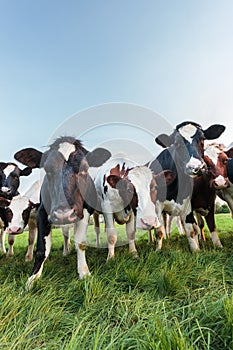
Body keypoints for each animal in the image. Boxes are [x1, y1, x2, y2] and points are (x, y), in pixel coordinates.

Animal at [148, 121, 225, 252]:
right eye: (177, 143)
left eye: (202, 139)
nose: (196, 167)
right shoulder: (156, 205)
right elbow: (159, 231)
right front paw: (157, 251)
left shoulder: (188, 205)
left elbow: (191, 230)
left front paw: (196, 250)